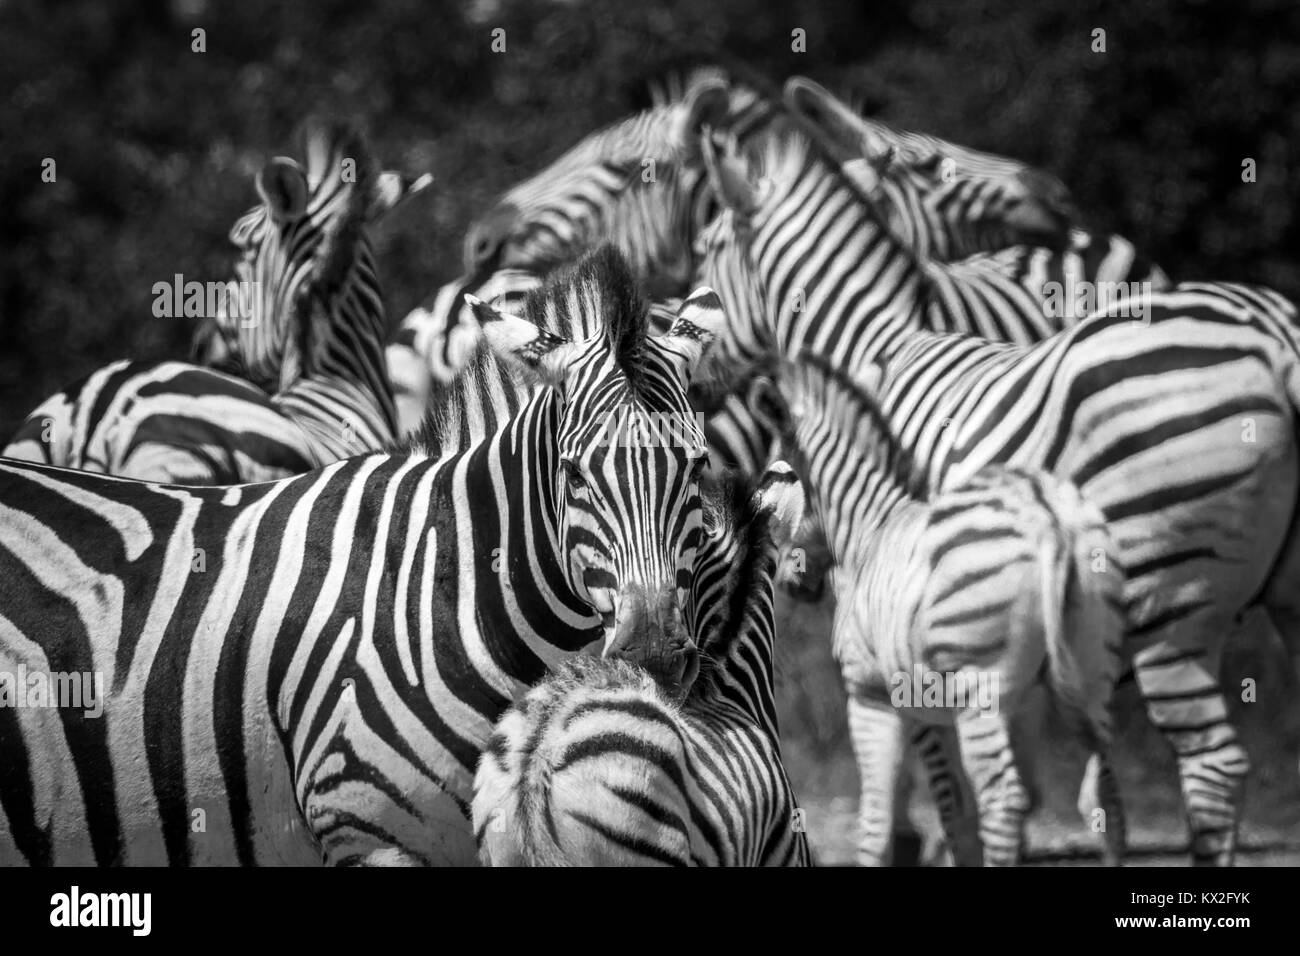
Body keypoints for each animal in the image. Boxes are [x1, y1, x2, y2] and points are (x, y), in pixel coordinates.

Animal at [746, 356, 1126, 865]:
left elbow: (878, 822)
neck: (872, 526)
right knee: (1108, 794)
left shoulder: (872, 696)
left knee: (1003, 798)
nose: (795, 586)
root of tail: (1047, 516)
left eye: (777, 474)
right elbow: (957, 815)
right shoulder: (974, 708)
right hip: (1092, 671)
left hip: (980, 686)